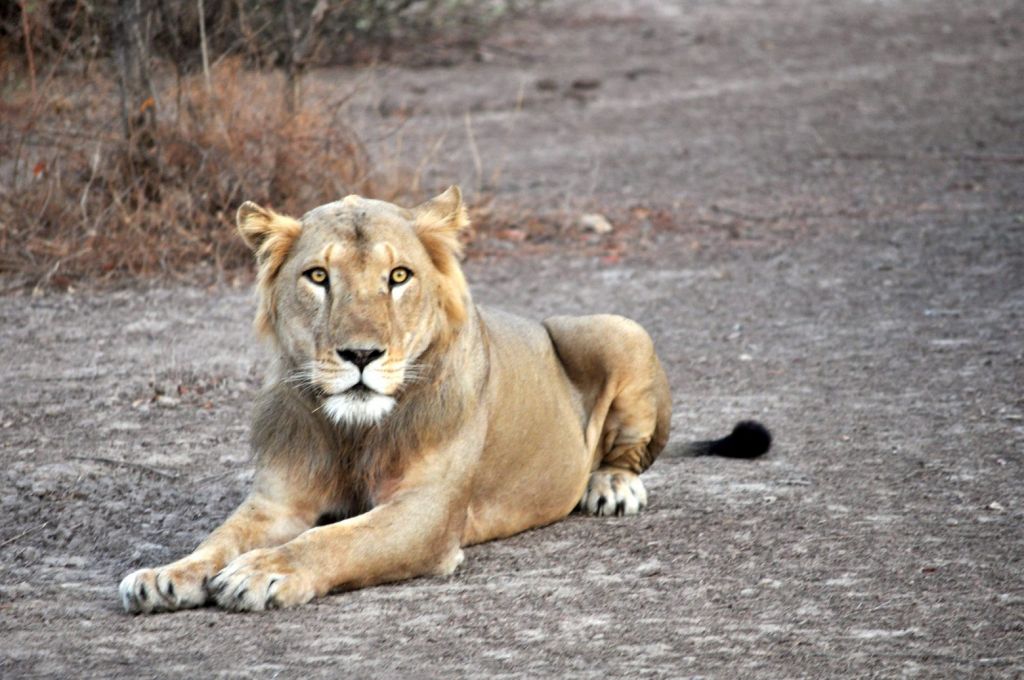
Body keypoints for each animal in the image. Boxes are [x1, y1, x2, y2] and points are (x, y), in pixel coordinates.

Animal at [116, 188, 770, 614]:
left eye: (399, 277)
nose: (360, 355)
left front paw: (264, 572)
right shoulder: (276, 503)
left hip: (618, 328)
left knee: (629, 453)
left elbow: (336, 540)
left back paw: (611, 486)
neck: (354, 430)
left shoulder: (427, 513)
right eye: (318, 277)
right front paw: (165, 575)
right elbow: (219, 538)